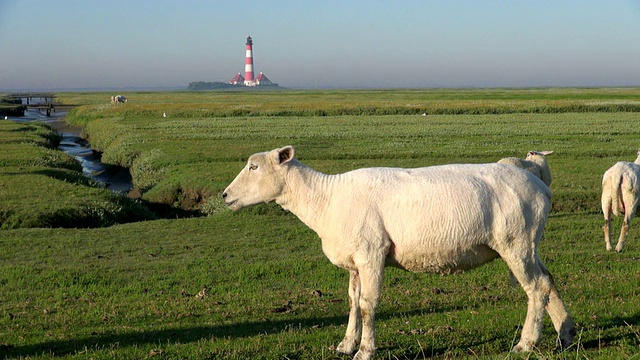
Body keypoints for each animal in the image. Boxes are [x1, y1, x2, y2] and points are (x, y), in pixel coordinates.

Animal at [224, 146, 576, 360]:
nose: (225, 195)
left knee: (536, 288)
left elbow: (367, 305)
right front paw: (345, 345)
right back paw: (566, 335)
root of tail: (539, 185)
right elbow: (352, 302)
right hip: (528, 243)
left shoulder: (371, 253)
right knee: (548, 280)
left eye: (254, 166)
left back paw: (526, 343)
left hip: (515, 241)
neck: (326, 198)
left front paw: (365, 350)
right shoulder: (355, 262)